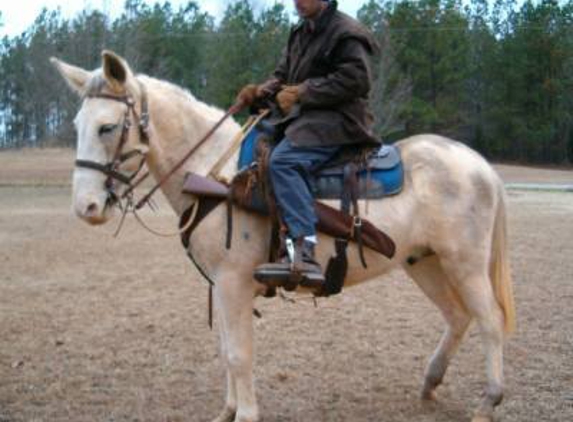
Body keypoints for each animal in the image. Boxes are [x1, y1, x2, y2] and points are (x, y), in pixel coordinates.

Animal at [52, 52, 512, 422]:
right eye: (76, 124)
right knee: (458, 317)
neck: (214, 174)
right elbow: (225, 351)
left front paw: (245, 415)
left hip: (464, 264)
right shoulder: (220, 287)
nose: (86, 207)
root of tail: (482, 166)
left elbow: (239, 355)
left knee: (489, 321)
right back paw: (430, 383)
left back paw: (489, 400)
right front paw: (228, 410)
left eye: (108, 127)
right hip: (424, 262)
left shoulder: (234, 283)